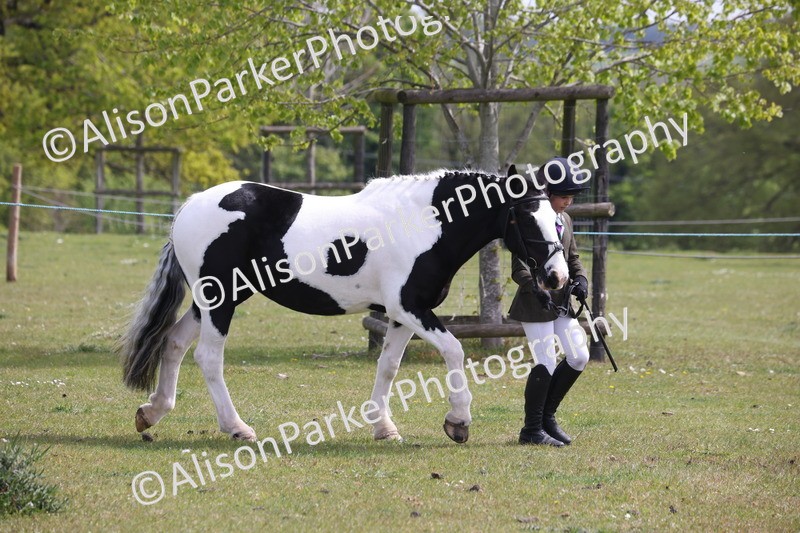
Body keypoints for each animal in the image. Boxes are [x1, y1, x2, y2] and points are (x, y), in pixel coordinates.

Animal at [118, 166, 569, 443]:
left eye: (555, 219)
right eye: (526, 218)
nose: (557, 278)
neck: (425, 223)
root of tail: (189, 206)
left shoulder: (401, 316)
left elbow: (388, 366)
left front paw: (384, 428)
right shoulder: (409, 310)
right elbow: (455, 350)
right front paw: (458, 422)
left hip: (211, 300)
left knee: (174, 343)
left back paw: (152, 412)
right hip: (220, 300)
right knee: (209, 357)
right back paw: (237, 428)